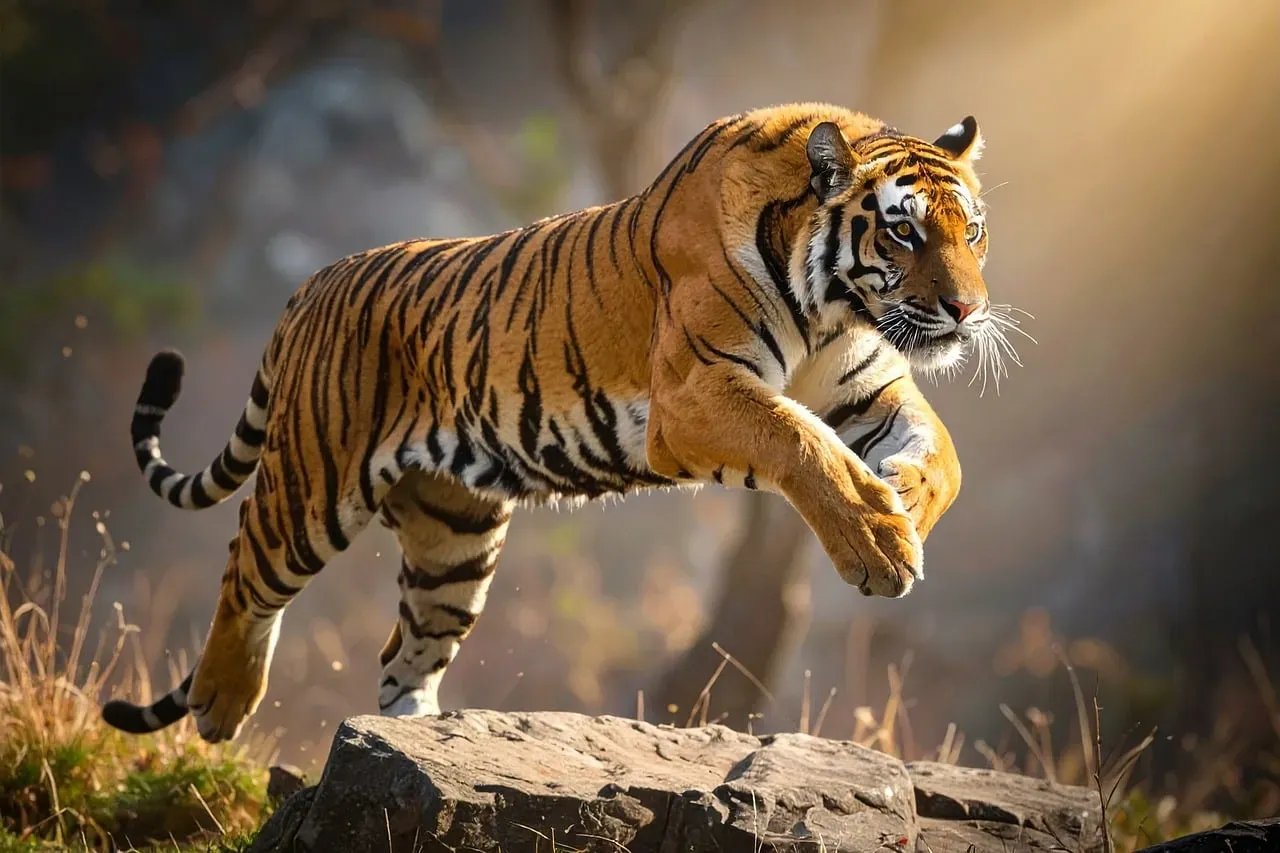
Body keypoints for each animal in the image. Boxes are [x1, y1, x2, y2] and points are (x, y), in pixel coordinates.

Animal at [101, 102, 1006, 744]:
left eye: (973, 230)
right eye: (903, 230)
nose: (969, 310)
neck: (833, 307)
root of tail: (313, 282)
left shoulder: (867, 386)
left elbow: (945, 460)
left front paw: (901, 508)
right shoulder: (694, 394)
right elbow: (800, 442)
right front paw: (878, 541)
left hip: (454, 537)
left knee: (403, 655)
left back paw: (416, 744)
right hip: (311, 482)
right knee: (245, 571)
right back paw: (222, 701)